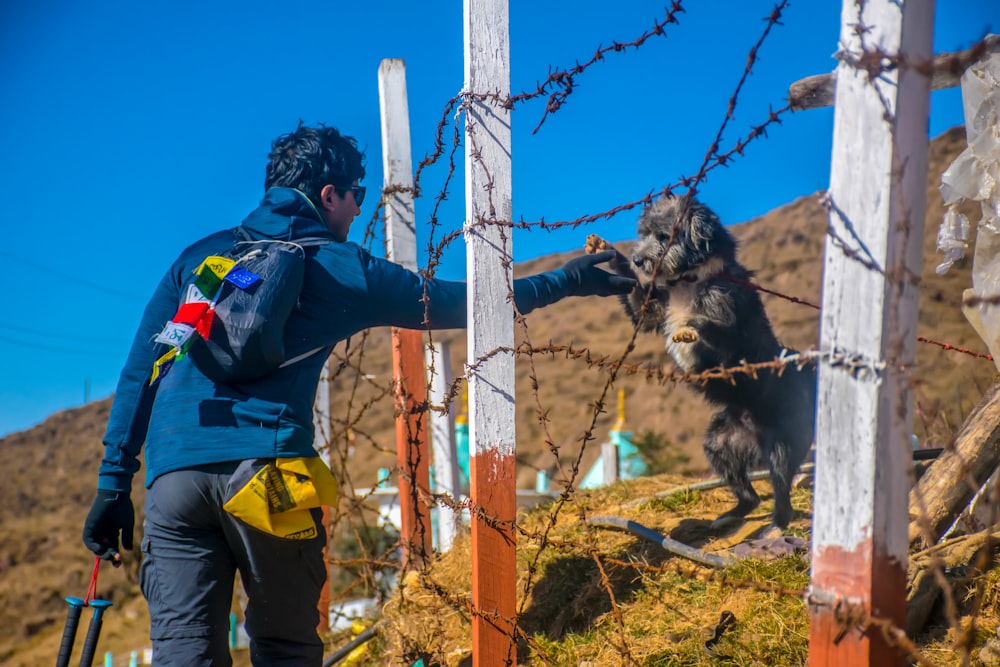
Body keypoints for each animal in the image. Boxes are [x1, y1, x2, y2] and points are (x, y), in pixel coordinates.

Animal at [584, 196, 812, 528]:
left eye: (664, 236)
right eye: (644, 233)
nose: (638, 260)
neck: (688, 281)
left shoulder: (728, 319)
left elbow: (713, 328)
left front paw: (692, 327)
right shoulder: (652, 309)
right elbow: (640, 300)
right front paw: (605, 249)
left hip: (782, 447)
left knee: (781, 489)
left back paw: (777, 524)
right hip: (721, 443)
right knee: (750, 495)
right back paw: (730, 517)